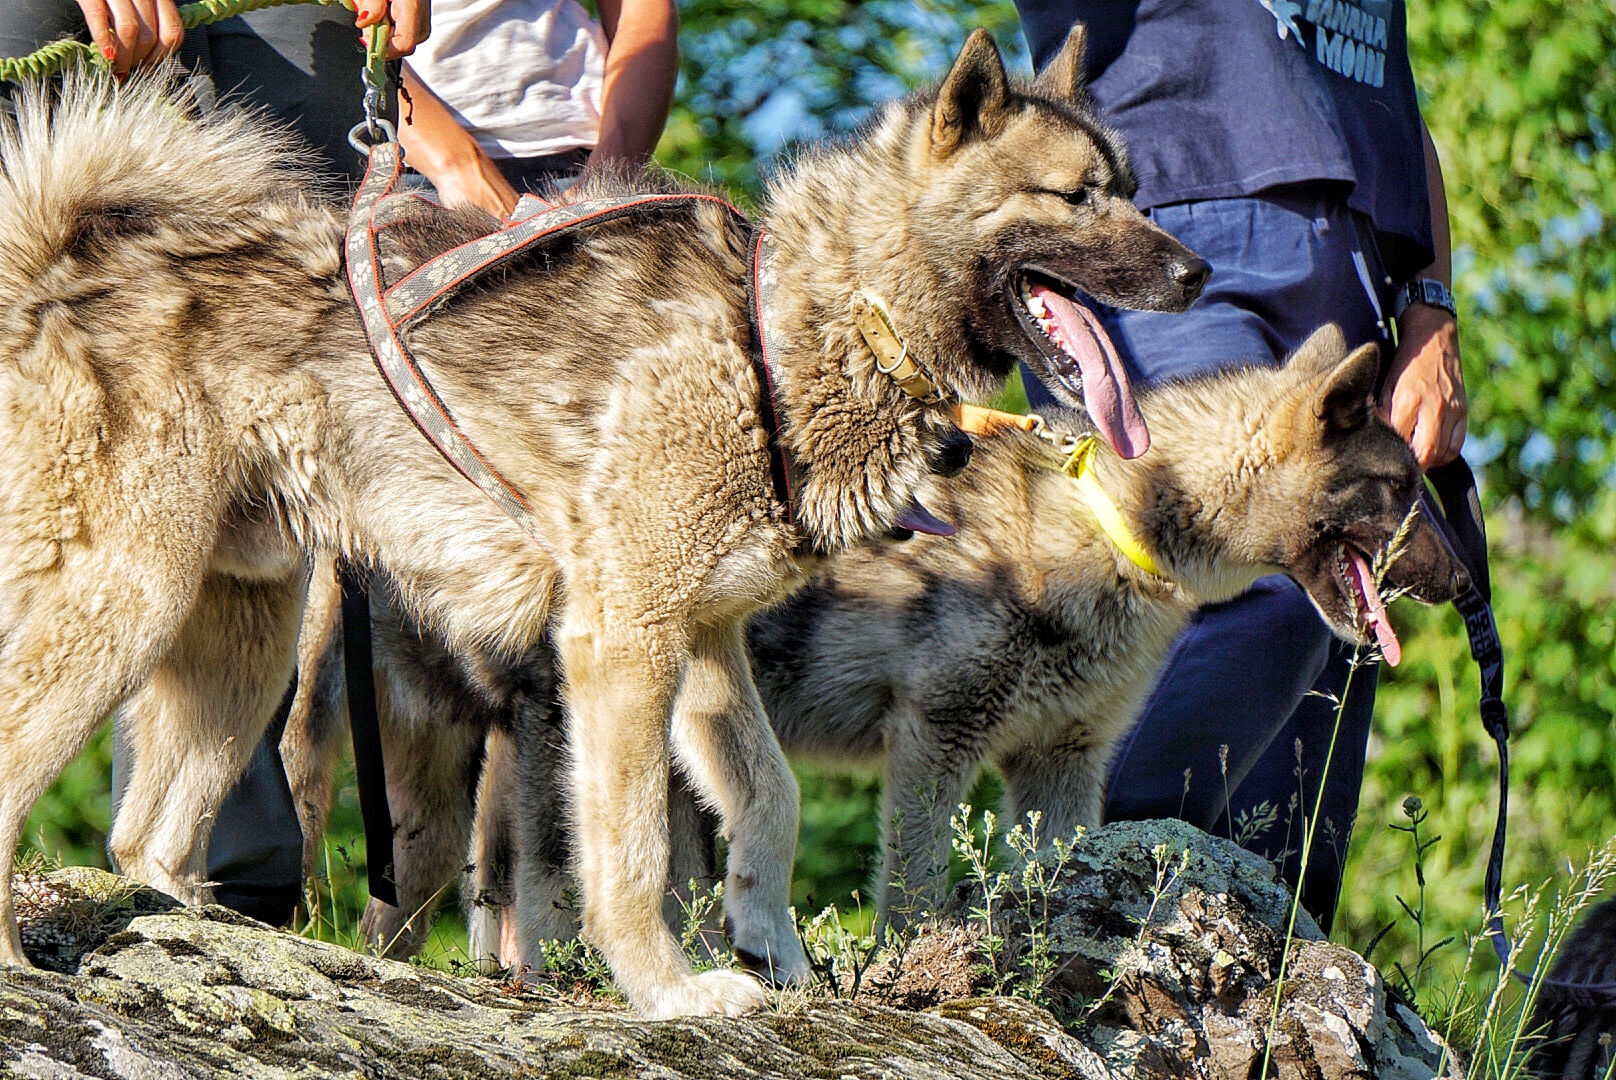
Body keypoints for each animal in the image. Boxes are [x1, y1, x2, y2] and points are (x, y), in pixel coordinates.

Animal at [0, 27, 1215, 1015]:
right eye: (1075, 197)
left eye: (1129, 188)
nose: (1197, 270)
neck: (788, 327)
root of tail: (56, 267)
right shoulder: (620, 647)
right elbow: (628, 854)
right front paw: (669, 992)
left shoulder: (708, 645)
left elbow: (767, 799)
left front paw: (776, 954)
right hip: (125, 608)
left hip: (240, 643)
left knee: (145, 838)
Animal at [290, 323, 1467, 970]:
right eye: (1400, 490)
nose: (1463, 586)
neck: (1106, 523)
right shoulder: (936, 739)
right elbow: (914, 890)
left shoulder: (1061, 770)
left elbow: (1044, 884)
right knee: (533, 898)